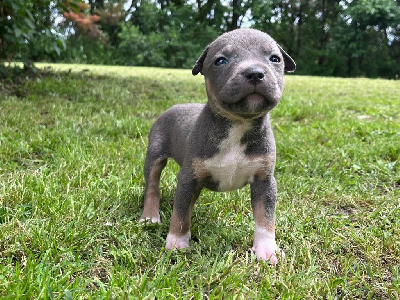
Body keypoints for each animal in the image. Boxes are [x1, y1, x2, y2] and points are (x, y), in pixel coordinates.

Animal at [139, 27, 296, 262]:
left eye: (275, 59)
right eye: (221, 61)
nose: (255, 73)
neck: (238, 123)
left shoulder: (265, 180)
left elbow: (266, 217)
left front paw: (266, 250)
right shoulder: (188, 177)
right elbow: (180, 214)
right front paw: (176, 243)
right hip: (155, 155)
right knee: (152, 185)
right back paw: (150, 216)